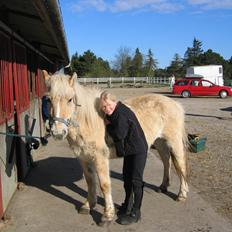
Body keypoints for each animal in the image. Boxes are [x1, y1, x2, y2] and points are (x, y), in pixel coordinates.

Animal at [43, 70, 188, 225]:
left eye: (70, 99)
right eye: (48, 99)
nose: (58, 133)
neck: (89, 122)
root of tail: (175, 104)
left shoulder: (100, 159)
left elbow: (104, 185)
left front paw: (107, 215)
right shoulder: (83, 158)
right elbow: (90, 181)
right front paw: (88, 205)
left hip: (174, 143)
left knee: (181, 166)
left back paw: (182, 195)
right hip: (160, 142)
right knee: (166, 161)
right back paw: (163, 186)